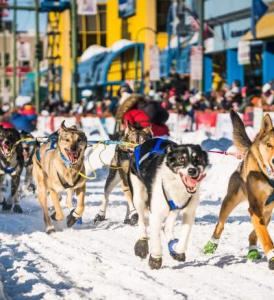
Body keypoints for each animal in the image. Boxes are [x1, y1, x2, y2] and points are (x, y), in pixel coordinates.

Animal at [128, 137, 208, 268]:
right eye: (181, 159)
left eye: (198, 159)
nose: (192, 170)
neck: (178, 187)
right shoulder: (156, 214)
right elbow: (155, 238)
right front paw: (155, 258)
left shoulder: (189, 212)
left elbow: (185, 236)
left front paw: (178, 250)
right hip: (138, 196)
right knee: (141, 220)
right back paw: (142, 243)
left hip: (172, 209)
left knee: (167, 226)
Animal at [203, 110, 274, 270]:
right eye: (269, 144)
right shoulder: (255, 206)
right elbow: (266, 237)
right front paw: (272, 258)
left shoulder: (261, 210)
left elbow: (260, 233)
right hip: (230, 200)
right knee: (220, 224)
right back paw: (211, 244)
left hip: (266, 211)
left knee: (253, 234)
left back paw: (253, 250)